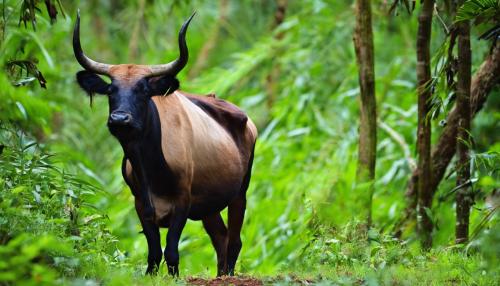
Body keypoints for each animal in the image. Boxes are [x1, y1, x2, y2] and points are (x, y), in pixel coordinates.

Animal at [73, 11, 258, 278]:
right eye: (110, 90)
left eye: (142, 90)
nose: (119, 119)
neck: (150, 167)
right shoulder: (141, 204)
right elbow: (153, 252)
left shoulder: (182, 201)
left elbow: (171, 251)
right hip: (210, 206)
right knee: (220, 238)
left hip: (240, 192)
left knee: (234, 240)